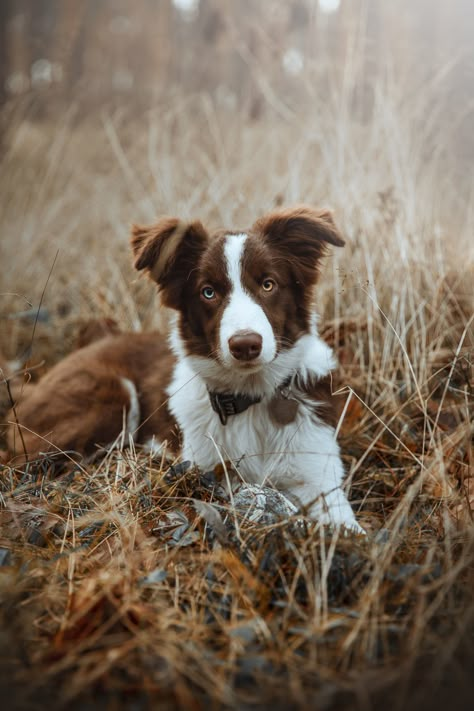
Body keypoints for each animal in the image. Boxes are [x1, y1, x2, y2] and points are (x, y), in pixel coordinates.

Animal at [6, 206, 362, 536]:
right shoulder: (203, 468)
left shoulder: (319, 476)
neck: (249, 397)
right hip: (110, 399)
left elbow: (348, 528)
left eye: (268, 284)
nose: (245, 345)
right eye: (208, 292)